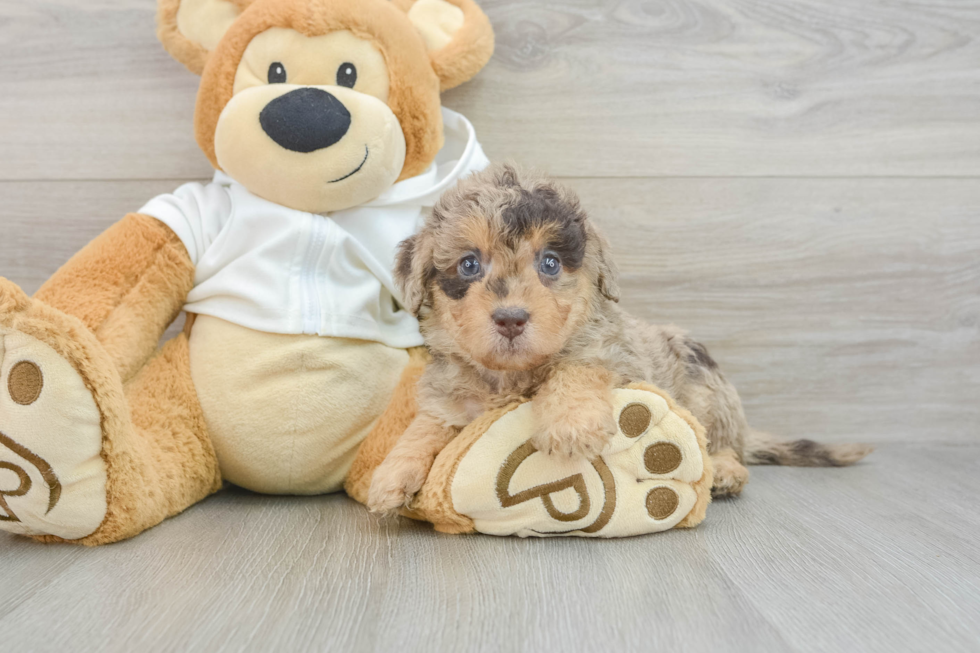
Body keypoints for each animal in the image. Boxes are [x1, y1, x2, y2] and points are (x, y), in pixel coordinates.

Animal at [368, 163, 872, 510]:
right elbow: (424, 426)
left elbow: (576, 366)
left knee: (721, 443)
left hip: (705, 382)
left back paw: (727, 471)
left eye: (550, 263)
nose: (510, 319)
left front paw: (570, 424)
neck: (511, 378)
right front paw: (392, 474)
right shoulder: (450, 399)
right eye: (469, 264)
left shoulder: (613, 355)